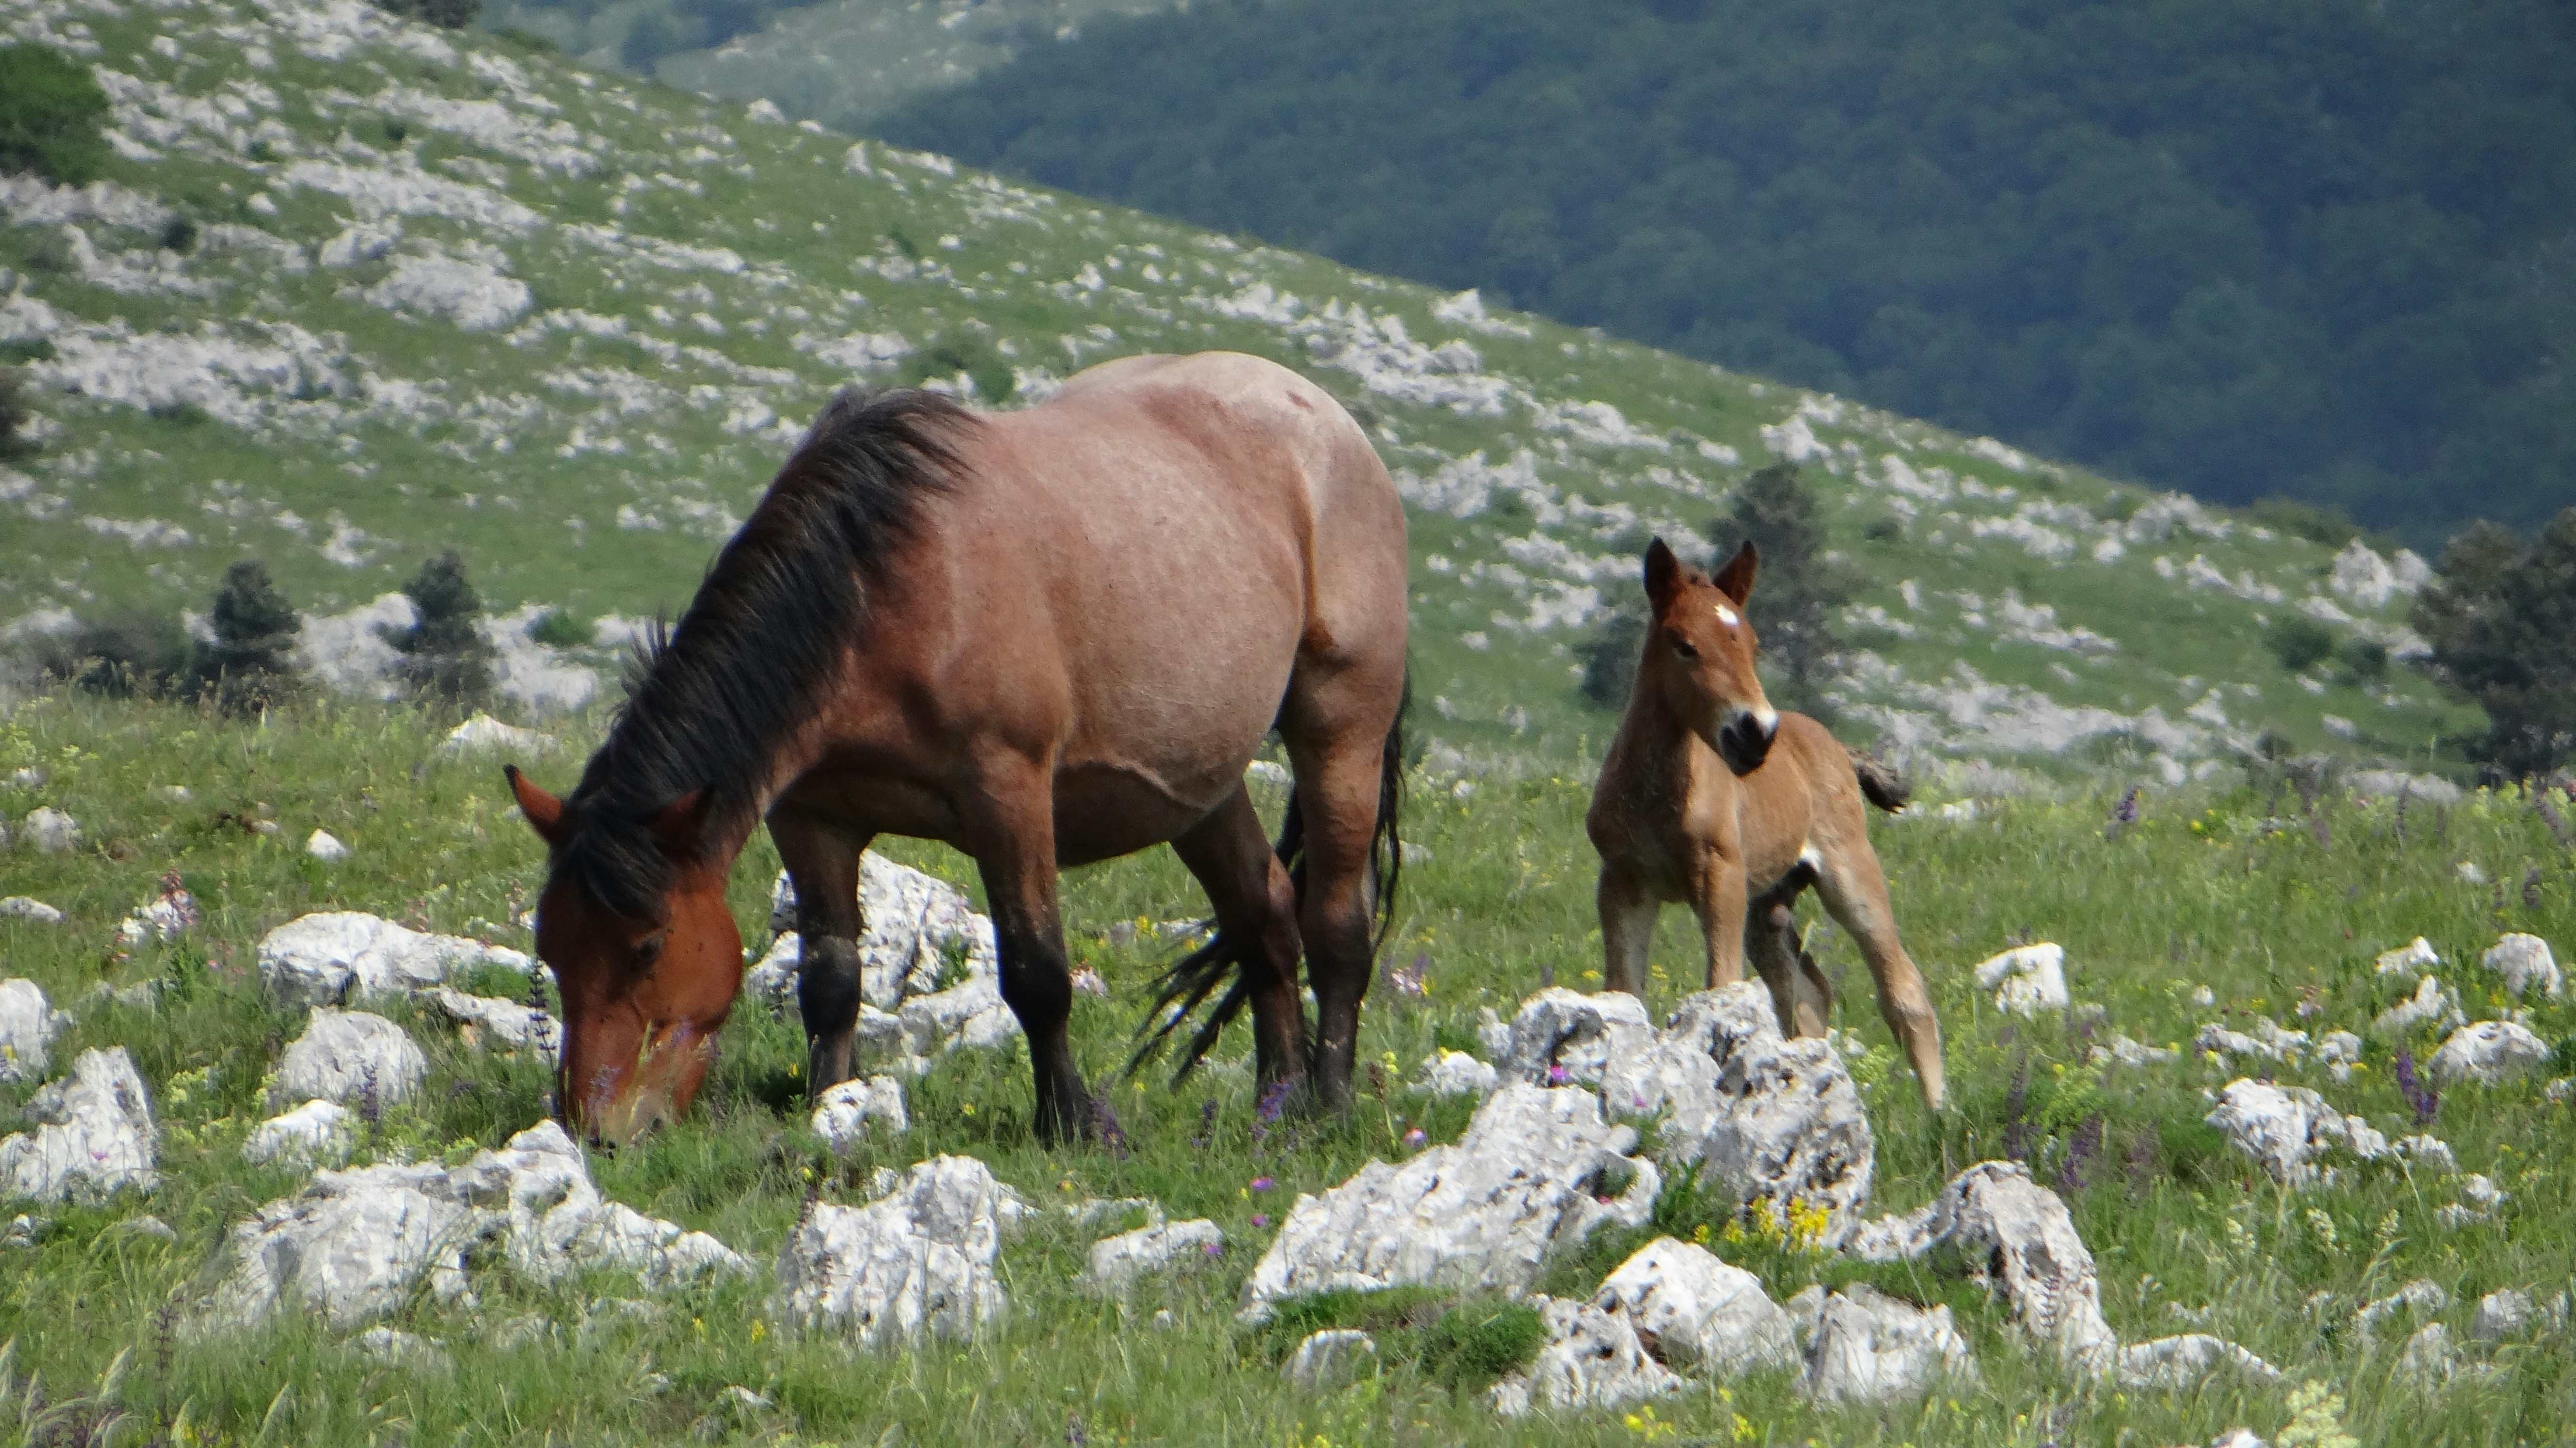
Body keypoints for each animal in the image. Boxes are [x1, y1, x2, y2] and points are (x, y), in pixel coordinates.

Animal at [504, 352, 1410, 1147]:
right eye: (552, 950)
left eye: (648, 946)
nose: (594, 1130)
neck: (880, 589)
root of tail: (1327, 422)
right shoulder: (811, 818)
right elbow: (830, 980)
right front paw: (832, 1105)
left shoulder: (1007, 790)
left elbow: (1037, 973)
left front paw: (1072, 1125)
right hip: (1201, 788)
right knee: (1266, 922)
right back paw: (1275, 1102)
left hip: (1341, 729)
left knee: (1334, 926)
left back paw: (1327, 1107)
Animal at [1584, 537, 1946, 1108]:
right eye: (1683, 645)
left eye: (1752, 644)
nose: (1755, 733)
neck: (1658, 795)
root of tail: (1836, 746)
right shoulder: (1623, 883)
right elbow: (1624, 991)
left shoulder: (1720, 878)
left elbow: (1720, 989)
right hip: (1768, 906)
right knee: (1806, 991)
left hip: (1848, 873)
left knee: (1902, 987)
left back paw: (1939, 1114)